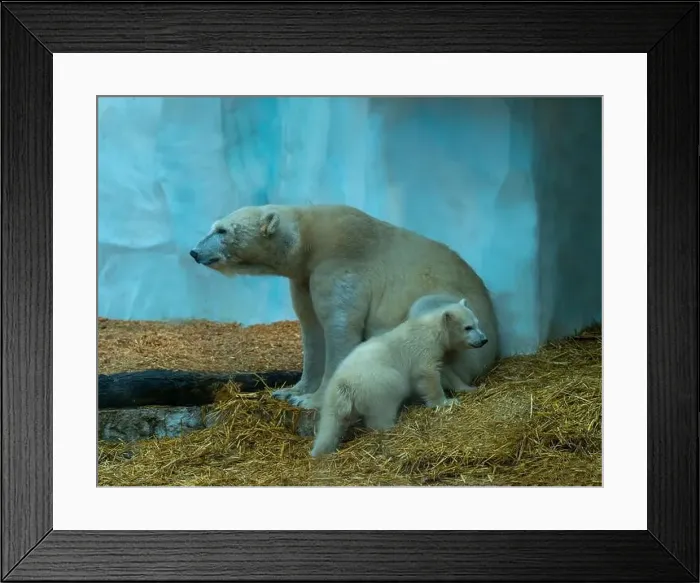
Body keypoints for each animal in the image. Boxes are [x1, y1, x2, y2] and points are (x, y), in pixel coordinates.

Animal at [189, 203, 499, 408]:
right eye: (214, 227)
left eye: (222, 230)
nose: (194, 251)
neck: (309, 241)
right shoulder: (304, 278)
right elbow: (312, 330)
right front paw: (290, 391)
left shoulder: (341, 264)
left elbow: (340, 329)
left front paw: (312, 401)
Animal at [308, 298, 488, 457]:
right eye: (468, 327)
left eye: (477, 323)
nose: (484, 339)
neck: (431, 329)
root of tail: (344, 383)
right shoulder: (423, 350)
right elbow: (428, 375)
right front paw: (446, 402)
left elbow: (446, 372)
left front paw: (469, 388)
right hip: (379, 383)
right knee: (384, 407)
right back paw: (392, 425)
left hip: (334, 398)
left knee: (331, 422)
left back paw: (320, 450)